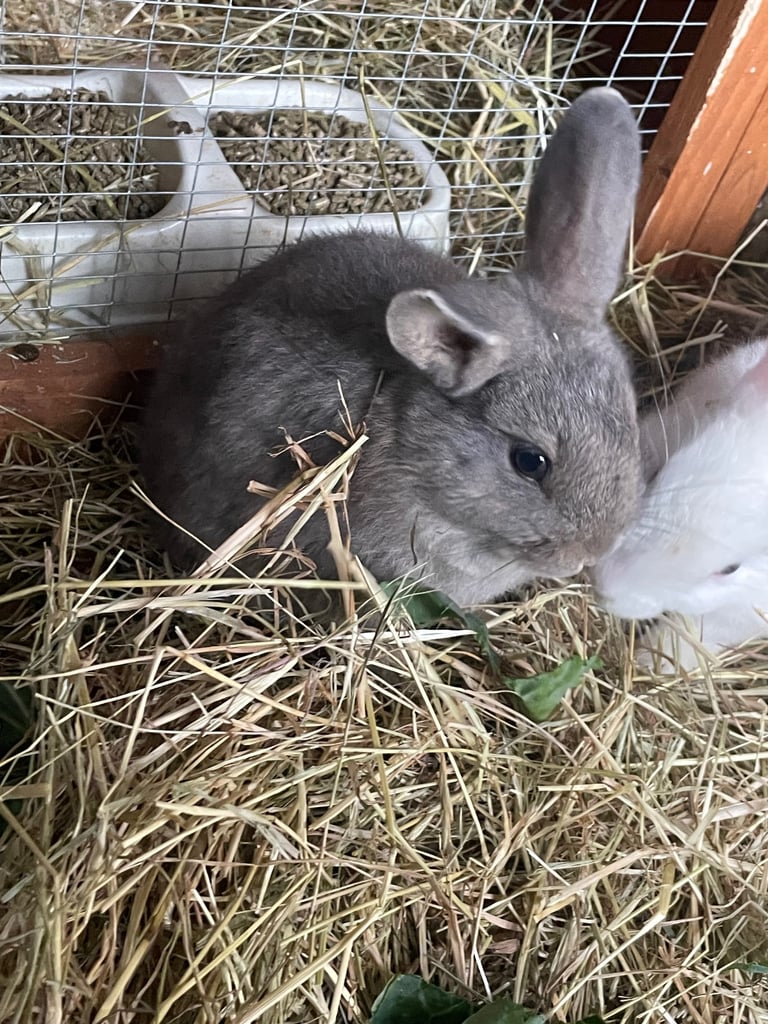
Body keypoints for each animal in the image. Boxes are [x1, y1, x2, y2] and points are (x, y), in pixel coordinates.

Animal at [592, 338, 768, 669]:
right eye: (662, 472)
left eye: (730, 569)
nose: (606, 588)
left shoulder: (744, 613)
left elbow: (695, 632)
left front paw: (649, 659)